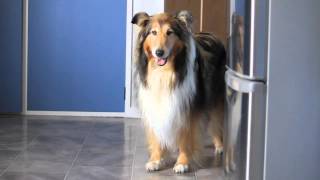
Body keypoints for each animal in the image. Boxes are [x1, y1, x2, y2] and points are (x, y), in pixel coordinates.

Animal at [131, 10, 226, 173]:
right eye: (153, 32)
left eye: (170, 32)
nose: (159, 52)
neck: (164, 73)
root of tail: (213, 35)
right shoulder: (155, 104)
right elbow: (157, 136)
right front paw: (156, 160)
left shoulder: (189, 108)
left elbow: (186, 138)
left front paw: (182, 163)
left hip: (216, 98)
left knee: (216, 121)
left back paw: (219, 146)